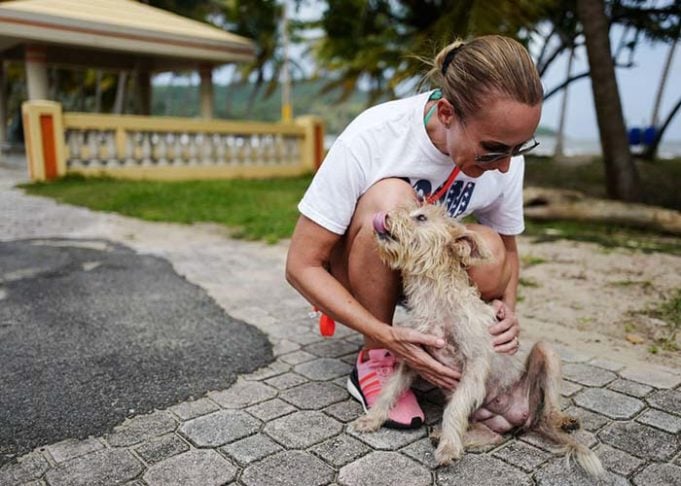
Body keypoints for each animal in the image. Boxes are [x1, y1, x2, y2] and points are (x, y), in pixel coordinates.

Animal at [354, 201, 604, 478]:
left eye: (421, 217)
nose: (384, 215)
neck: (433, 295)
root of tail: (526, 419)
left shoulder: (474, 364)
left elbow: (454, 408)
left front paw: (448, 449)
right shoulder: (414, 357)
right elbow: (389, 390)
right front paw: (372, 418)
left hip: (545, 352)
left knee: (549, 409)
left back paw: (562, 420)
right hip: (486, 420)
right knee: (493, 436)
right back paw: (445, 436)